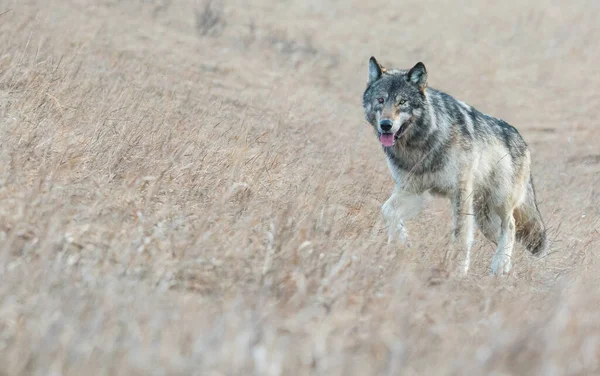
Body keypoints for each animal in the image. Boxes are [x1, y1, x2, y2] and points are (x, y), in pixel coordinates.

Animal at [364, 56, 548, 274]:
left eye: (402, 102)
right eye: (381, 100)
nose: (385, 125)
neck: (422, 143)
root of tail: (522, 140)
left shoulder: (460, 193)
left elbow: (461, 236)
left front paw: (457, 272)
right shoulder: (412, 190)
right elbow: (387, 211)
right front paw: (402, 242)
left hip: (498, 201)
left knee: (510, 226)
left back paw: (500, 265)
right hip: (484, 218)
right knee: (506, 237)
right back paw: (507, 268)